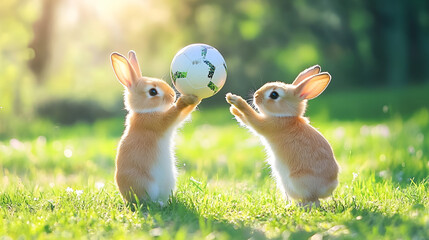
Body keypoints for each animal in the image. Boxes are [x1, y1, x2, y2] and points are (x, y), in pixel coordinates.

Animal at [108, 50, 199, 204]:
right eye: (153, 92)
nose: (172, 95)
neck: (145, 111)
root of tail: (126, 197)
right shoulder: (159, 122)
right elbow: (174, 113)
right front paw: (184, 100)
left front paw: (196, 98)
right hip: (145, 185)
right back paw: (159, 204)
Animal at [226, 65, 340, 206]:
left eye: (274, 95)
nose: (256, 95)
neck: (285, 116)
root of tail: (328, 189)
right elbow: (245, 119)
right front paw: (233, 109)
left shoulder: (265, 125)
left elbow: (251, 116)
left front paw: (235, 100)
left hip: (297, 181)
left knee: (311, 200)